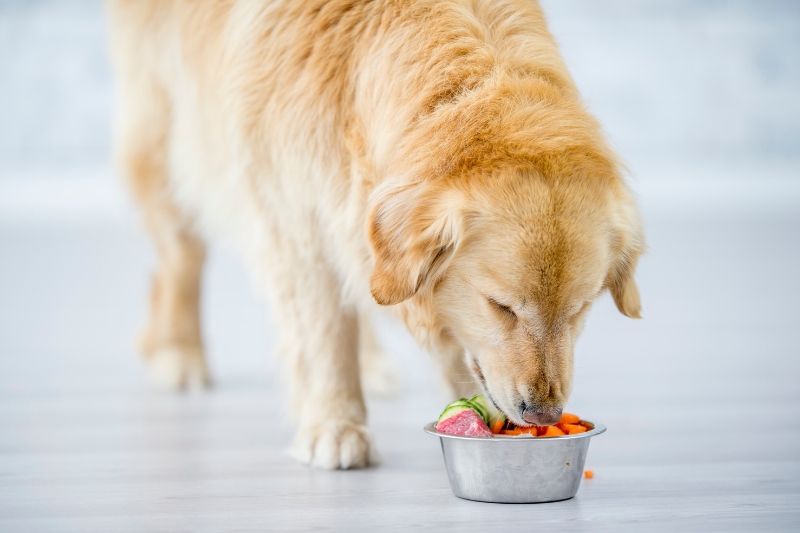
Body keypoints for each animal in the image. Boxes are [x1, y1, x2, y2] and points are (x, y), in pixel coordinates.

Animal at [108, 0, 644, 468]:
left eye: (580, 309)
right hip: (167, 136)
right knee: (180, 257)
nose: (545, 415)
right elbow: (324, 332)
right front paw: (336, 426)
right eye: (501, 306)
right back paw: (178, 350)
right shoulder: (296, 218)